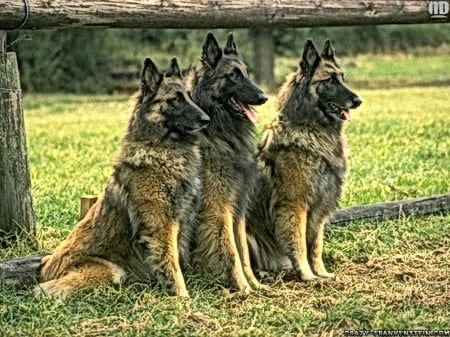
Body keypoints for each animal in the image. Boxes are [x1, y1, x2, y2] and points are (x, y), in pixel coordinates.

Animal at [34, 57, 210, 296]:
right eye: (175, 99)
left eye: (189, 97)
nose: (206, 119)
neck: (160, 148)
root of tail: (45, 269)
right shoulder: (161, 225)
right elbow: (171, 264)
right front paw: (182, 296)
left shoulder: (182, 219)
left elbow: (178, 258)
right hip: (111, 271)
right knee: (46, 290)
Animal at [186, 32, 268, 292]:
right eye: (233, 76)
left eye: (247, 73)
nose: (264, 97)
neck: (219, 131)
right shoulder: (219, 207)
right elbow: (231, 250)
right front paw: (243, 288)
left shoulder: (239, 206)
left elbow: (242, 249)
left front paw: (254, 284)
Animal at [246, 38, 362, 280]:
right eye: (330, 80)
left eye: (343, 77)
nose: (358, 100)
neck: (312, 130)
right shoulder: (294, 206)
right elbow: (298, 243)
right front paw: (308, 276)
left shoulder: (318, 209)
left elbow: (315, 245)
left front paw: (322, 273)